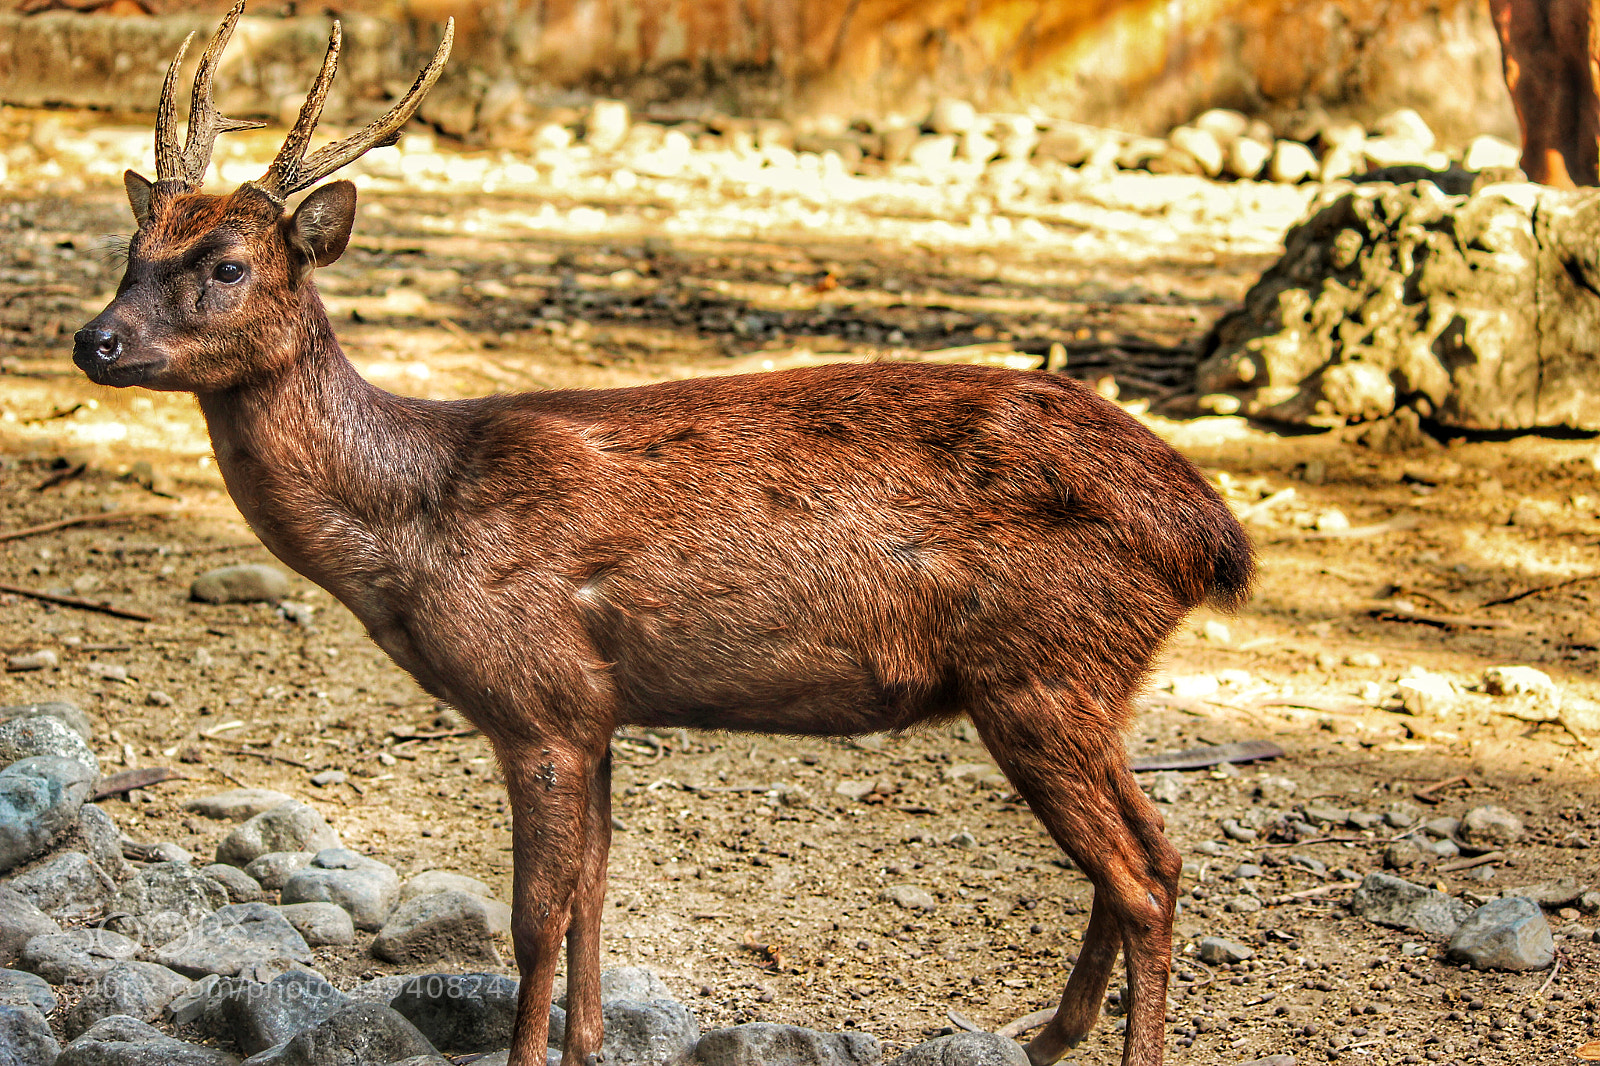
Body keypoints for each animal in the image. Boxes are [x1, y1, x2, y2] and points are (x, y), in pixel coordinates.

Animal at [72, 5, 1253, 1065]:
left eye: (227, 265)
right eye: (131, 248)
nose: (96, 340)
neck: (414, 529)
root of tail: (1211, 534)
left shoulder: (537, 698)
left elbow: (534, 921)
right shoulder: (596, 709)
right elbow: (596, 897)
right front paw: (590, 1044)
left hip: (1042, 667)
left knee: (1146, 874)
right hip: (1076, 678)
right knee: (1145, 859)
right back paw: (1050, 1036)